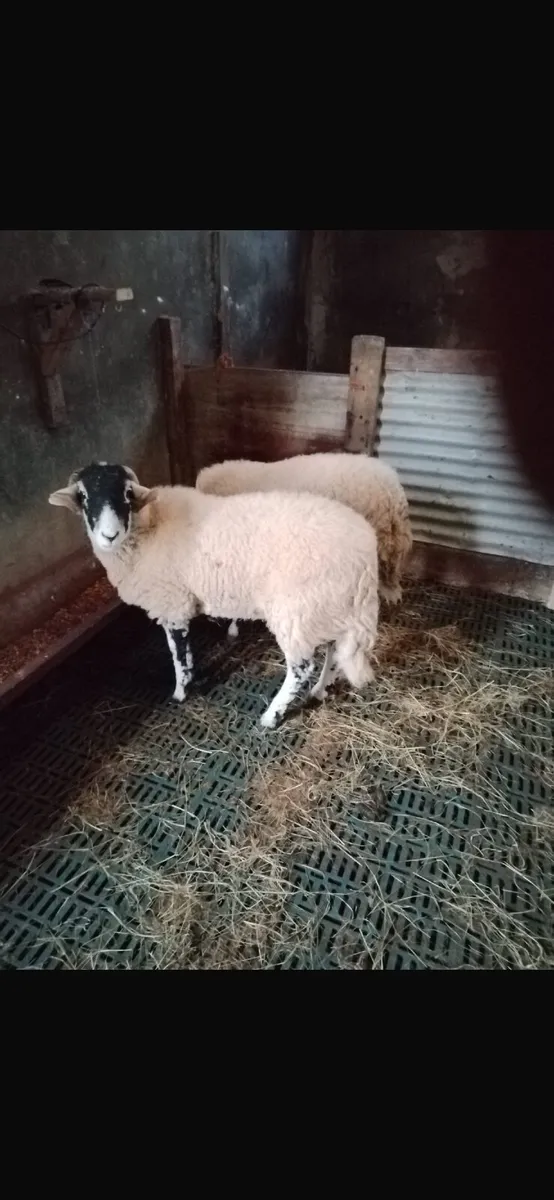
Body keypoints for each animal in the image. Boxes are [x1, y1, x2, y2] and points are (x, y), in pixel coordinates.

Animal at [49, 462, 380, 729]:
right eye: (83, 497)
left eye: (127, 494)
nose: (109, 535)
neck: (146, 529)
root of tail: (365, 553)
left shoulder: (173, 603)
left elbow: (178, 653)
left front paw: (181, 692)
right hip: (328, 606)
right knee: (333, 651)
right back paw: (320, 690)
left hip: (296, 612)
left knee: (301, 668)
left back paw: (271, 717)